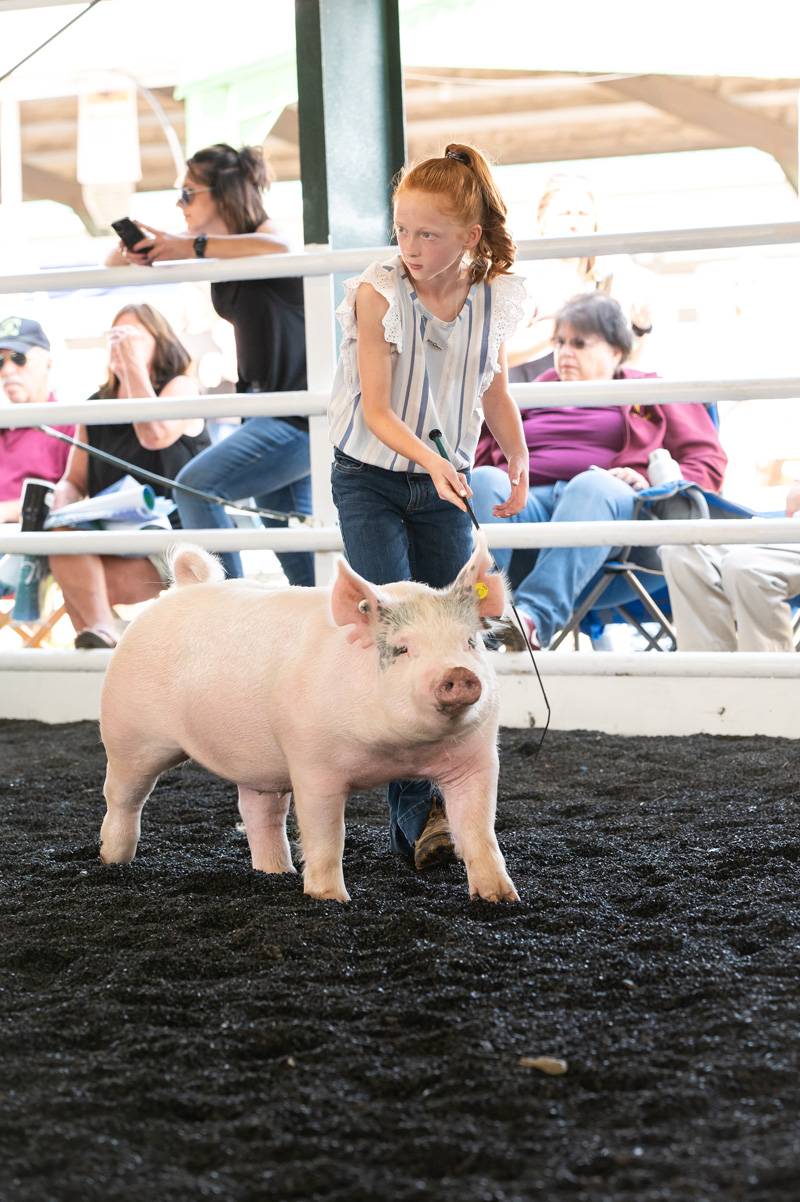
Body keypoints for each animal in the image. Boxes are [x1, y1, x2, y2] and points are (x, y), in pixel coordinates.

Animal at [97, 536, 516, 903]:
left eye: (470, 643)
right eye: (402, 649)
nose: (459, 673)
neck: (401, 753)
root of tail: (181, 589)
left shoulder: (477, 759)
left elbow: (479, 830)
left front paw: (501, 898)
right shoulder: (313, 764)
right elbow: (327, 835)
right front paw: (332, 899)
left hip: (258, 761)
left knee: (259, 811)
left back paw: (276, 873)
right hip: (129, 734)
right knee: (123, 796)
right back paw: (112, 859)